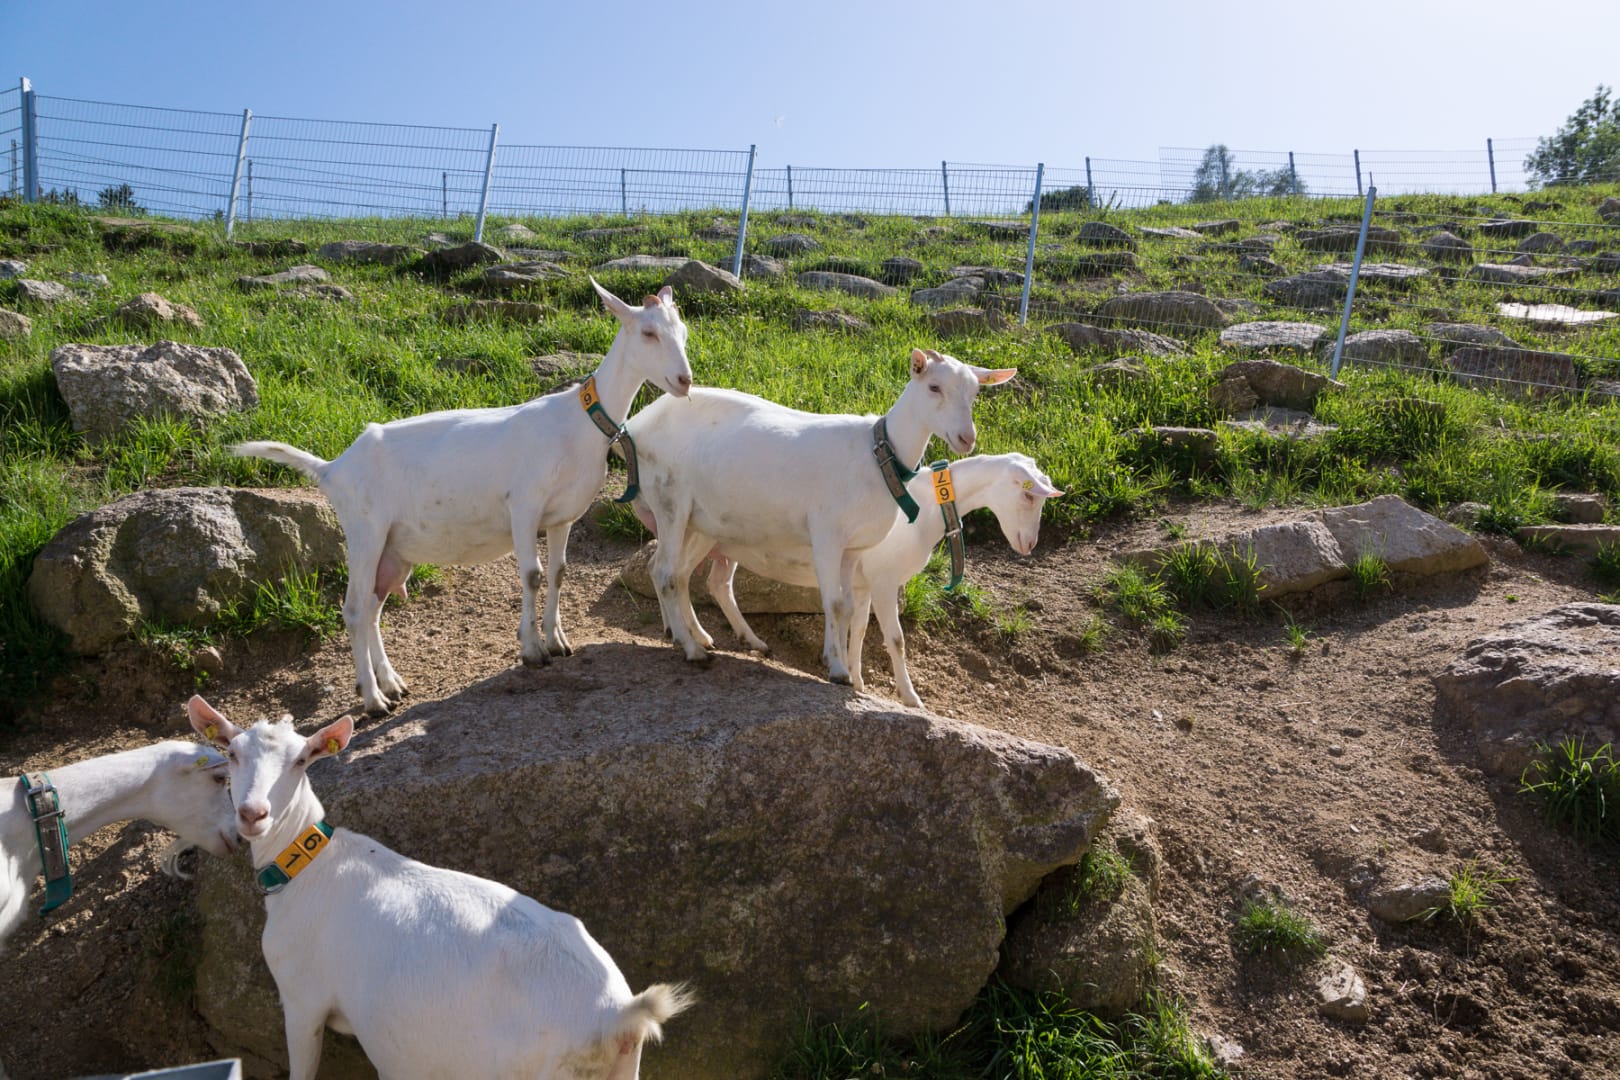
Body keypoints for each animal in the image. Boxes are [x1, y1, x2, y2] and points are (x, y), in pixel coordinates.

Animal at [187, 695, 691, 1080]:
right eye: (231, 753)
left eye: (300, 760)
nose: (253, 814)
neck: (309, 866)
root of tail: (618, 1016)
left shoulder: (301, 997)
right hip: (622, 1070)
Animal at [234, 279, 693, 715]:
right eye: (649, 332)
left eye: (684, 332)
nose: (684, 380)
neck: (578, 422)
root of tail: (332, 468)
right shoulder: (523, 505)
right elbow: (533, 575)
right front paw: (531, 650)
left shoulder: (562, 516)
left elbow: (559, 573)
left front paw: (557, 640)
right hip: (364, 530)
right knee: (352, 610)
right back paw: (372, 699)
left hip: (392, 548)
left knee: (372, 608)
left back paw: (392, 684)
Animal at [625, 348, 1014, 684]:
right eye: (934, 387)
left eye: (975, 393)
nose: (966, 438)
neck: (877, 454)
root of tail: (639, 424)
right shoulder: (827, 535)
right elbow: (835, 603)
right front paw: (840, 671)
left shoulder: (853, 549)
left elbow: (848, 609)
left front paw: (839, 664)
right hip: (670, 502)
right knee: (665, 573)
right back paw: (693, 649)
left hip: (696, 521)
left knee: (678, 573)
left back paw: (695, 636)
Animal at [693, 452, 1062, 708]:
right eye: (1029, 495)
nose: (1029, 545)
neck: (927, 508)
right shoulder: (884, 580)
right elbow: (895, 638)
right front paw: (910, 697)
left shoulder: (862, 582)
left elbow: (857, 629)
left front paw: (856, 680)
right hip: (697, 534)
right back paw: (699, 640)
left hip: (724, 548)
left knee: (719, 585)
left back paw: (750, 640)